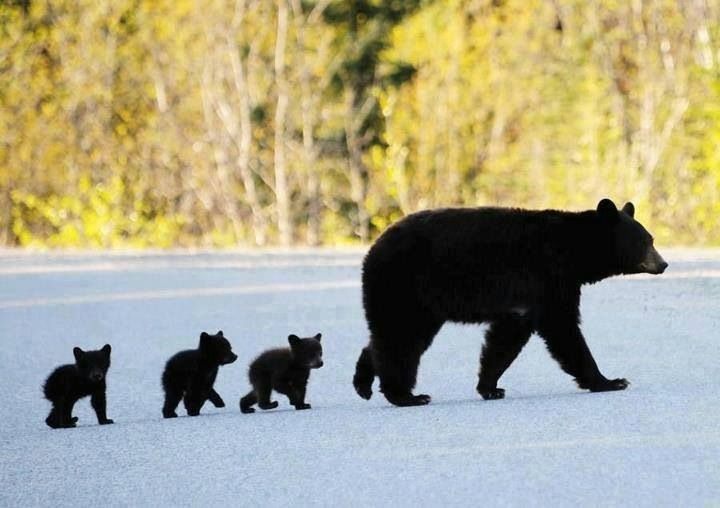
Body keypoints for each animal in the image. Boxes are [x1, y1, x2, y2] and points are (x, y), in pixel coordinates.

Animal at [352, 199, 668, 407]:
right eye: (645, 241)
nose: (664, 264)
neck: (573, 249)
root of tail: (374, 248)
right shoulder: (548, 277)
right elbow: (563, 329)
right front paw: (609, 381)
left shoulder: (525, 299)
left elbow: (506, 339)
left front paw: (490, 387)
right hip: (405, 285)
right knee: (400, 338)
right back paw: (407, 395)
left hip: (421, 303)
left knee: (392, 337)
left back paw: (364, 384)